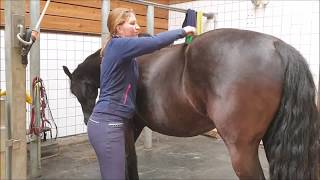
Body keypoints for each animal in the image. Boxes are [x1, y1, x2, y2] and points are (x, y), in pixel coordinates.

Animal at [63, 28, 320, 180]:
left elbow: (129, 160)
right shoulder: (135, 126)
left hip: (242, 150)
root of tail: (277, 46)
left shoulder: (128, 126)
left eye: (79, 90)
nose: (87, 120)